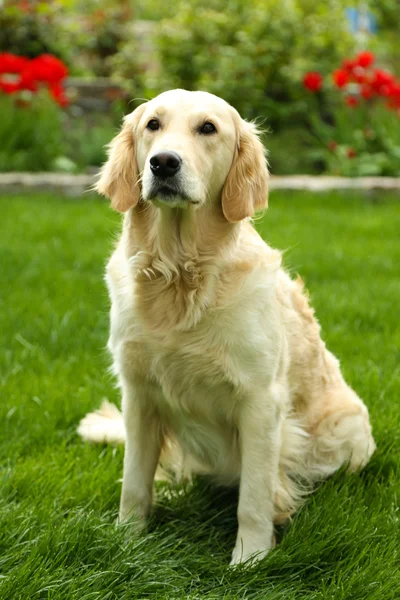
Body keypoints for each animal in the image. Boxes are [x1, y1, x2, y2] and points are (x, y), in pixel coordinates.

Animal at [78, 88, 376, 564]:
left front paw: (248, 559)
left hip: (347, 432)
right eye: (153, 125)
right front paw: (127, 541)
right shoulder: (138, 393)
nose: (163, 163)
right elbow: (135, 483)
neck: (180, 275)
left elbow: (253, 497)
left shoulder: (260, 400)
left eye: (208, 128)